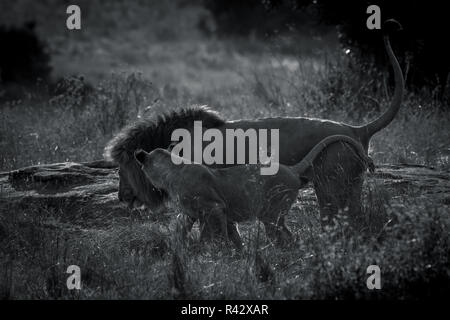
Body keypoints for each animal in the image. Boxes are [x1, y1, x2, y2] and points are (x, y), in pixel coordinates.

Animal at [105, 20, 404, 228]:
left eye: (121, 168)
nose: (120, 196)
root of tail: (355, 129)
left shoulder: (199, 187)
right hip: (351, 185)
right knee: (357, 219)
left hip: (330, 185)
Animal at [134, 134, 372, 249]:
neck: (170, 172)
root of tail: (291, 168)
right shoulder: (192, 214)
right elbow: (190, 233)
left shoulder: (215, 208)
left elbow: (213, 235)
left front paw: (213, 253)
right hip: (273, 215)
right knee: (288, 236)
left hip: (271, 214)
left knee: (284, 236)